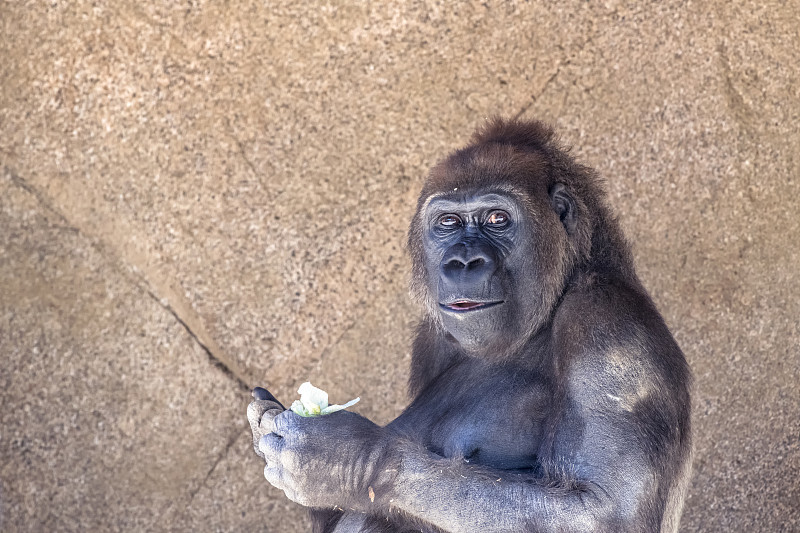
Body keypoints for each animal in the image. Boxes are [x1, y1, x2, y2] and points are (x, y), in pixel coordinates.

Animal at [247, 119, 692, 532]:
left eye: (497, 218)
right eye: (447, 222)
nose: (462, 263)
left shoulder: (607, 324)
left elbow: (601, 512)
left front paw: (340, 458)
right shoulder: (431, 339)